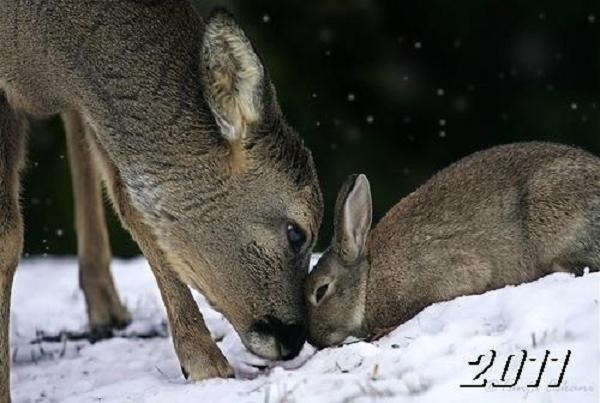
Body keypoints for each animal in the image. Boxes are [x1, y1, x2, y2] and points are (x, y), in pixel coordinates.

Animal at [0, 2, 324, 400]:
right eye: (296, 232)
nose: (293, 338)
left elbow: (133, 203)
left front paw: (204, 362)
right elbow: (8, 237)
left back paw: (106, 306)